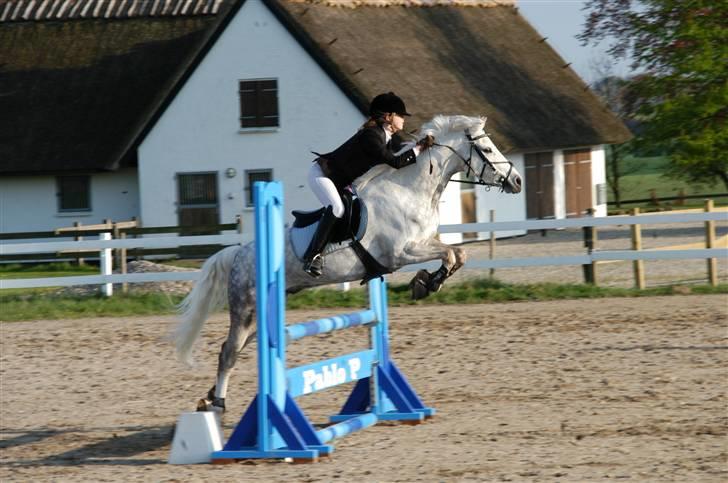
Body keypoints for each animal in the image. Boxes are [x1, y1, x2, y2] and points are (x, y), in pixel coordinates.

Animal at [172, 114, 523, 412]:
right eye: (487, 148)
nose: (517, 181)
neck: (409, 190)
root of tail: (239, 253)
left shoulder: (422, 244)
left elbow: (458, 255)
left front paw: (426, 282)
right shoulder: (401, 253)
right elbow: (450, 254)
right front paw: (426, 283)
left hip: (264, 310)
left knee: (240, 347)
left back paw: (209, 398)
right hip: (245, 307)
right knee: (229, 351)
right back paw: (218, 404)